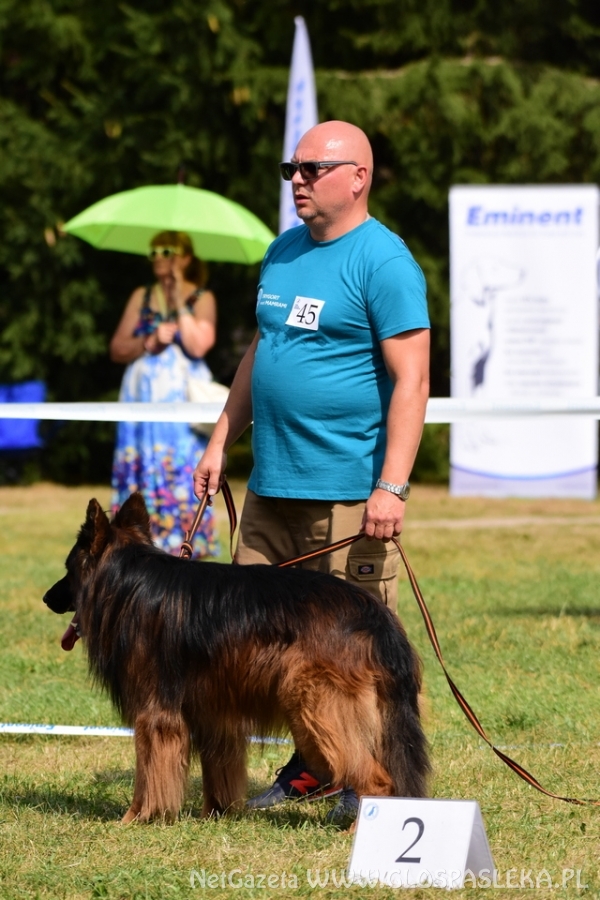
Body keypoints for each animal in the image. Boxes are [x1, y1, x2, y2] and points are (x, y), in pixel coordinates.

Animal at [43, 492, 429, 825]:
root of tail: (375, 614)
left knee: (378, 780)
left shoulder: (155, 714)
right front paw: (217, 814)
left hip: (320, 706)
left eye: (68, 568)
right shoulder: (217, 713)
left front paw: (138, 817)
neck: (129, 584)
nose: (47, 598)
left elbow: (148, 773)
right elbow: (219, 770)